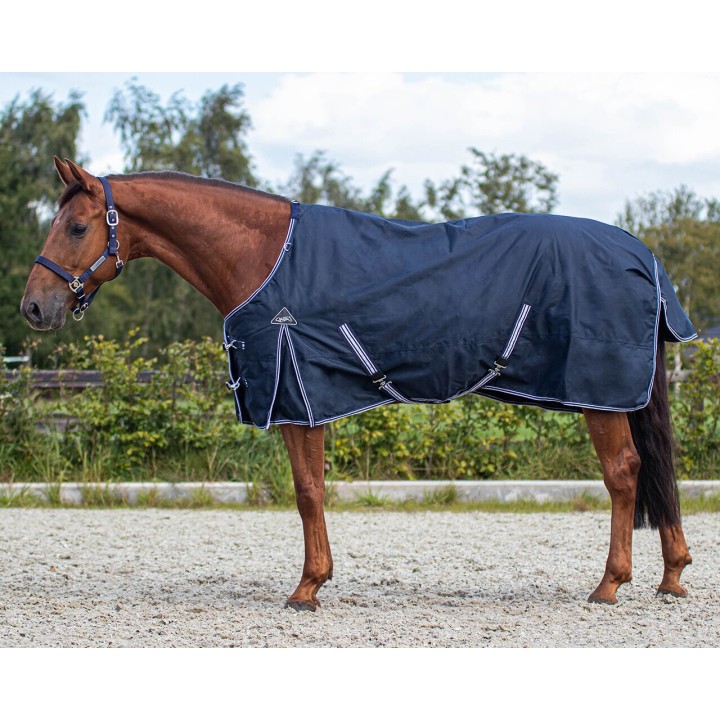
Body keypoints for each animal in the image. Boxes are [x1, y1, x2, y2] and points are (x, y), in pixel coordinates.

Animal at [20, 157, 694, 610]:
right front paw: (315, 580)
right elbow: (311, 489)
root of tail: (644, 256)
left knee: (624, 473)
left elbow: (307, 491)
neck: (261, 256)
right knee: (655, 470)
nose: (33, 307)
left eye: (77, 227)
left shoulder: (297, 394)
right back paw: (672, 575)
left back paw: (610, 584)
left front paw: (307, 587)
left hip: (600, 392)